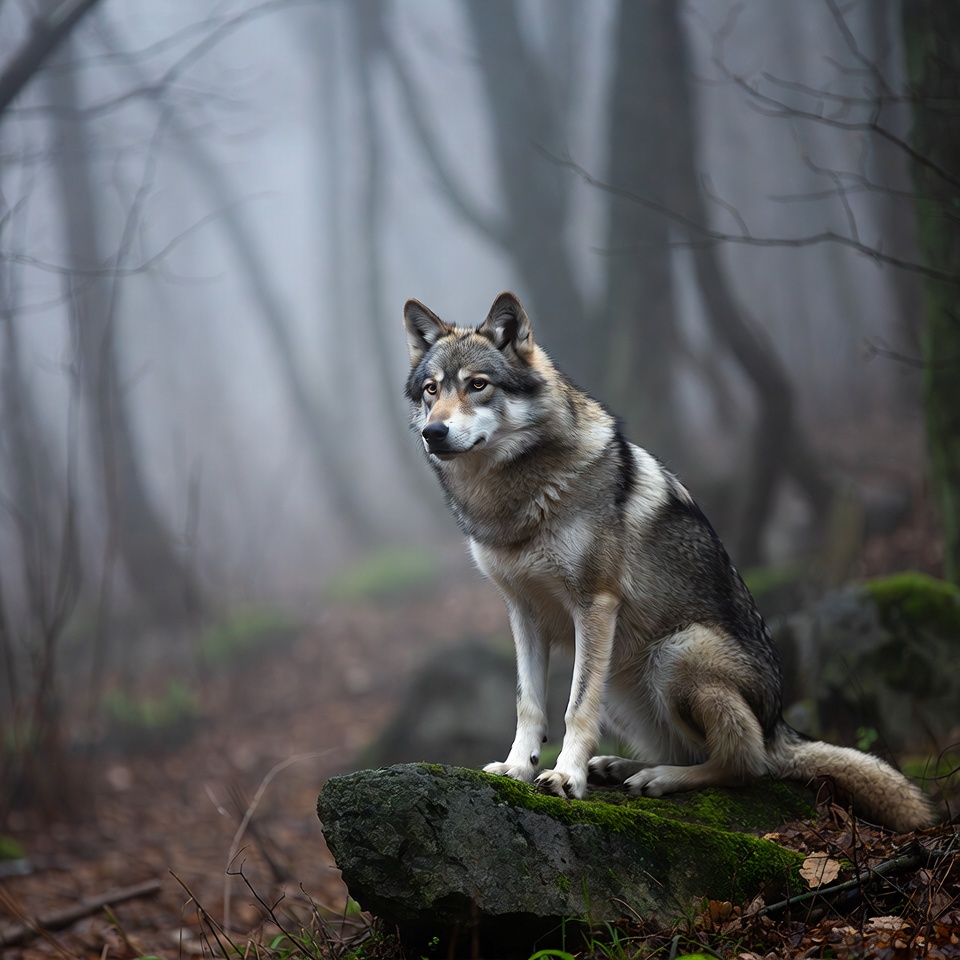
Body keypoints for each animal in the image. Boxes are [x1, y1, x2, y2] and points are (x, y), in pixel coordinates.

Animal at [402, 291, 932, 833]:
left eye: (478, 385)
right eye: (431, 390)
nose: (433, 432)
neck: (513, 499)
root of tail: (780, 725)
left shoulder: (595, 604)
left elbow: (575, 709)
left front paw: (566, 777)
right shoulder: (523, 613)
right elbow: (529, 705)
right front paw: (517, 767)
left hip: (677, 654)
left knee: (746, 765)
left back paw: (658, 778)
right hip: (622, 679)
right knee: (692, 751)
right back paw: (622, 767)